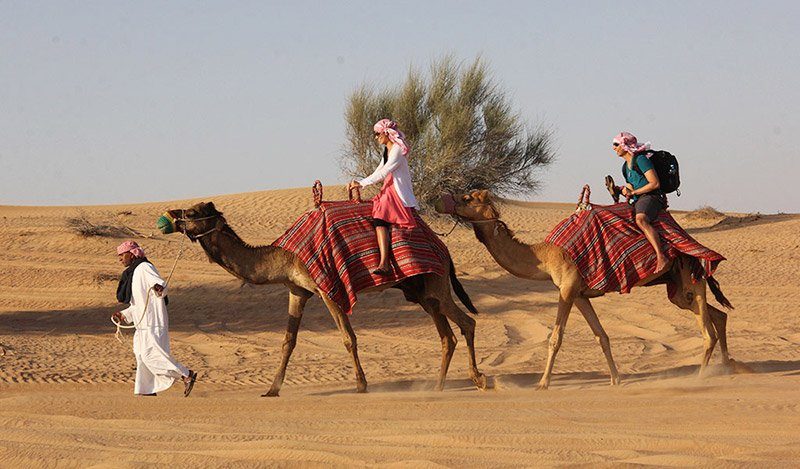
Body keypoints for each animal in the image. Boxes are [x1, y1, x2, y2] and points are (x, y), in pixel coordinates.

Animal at [162, 201, 488, 394]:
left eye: (192, 213)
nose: (170, 216)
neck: (284, 255)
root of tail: (443, 249)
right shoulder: (297, 290)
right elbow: (288, 341)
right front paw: (272, 389)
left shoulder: (326, 288)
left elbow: (348, 337)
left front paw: (361, 384)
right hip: (421, 291)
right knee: (447, 335)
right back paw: (436, 386)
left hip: (435, 283)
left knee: (467, 323)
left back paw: (478, 379)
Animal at [434, 188, 736, 390]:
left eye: (467, 198)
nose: (440, 200)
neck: (545, 255)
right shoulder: (579, 294)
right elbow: (602, 336)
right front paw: (616, 379)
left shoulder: (566, 288)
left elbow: (555, 338)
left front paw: (543, 383)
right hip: (677, 289)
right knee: (718, 315)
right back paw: (727, 367)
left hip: (691, 275)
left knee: (707, 330)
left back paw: (700, 376)